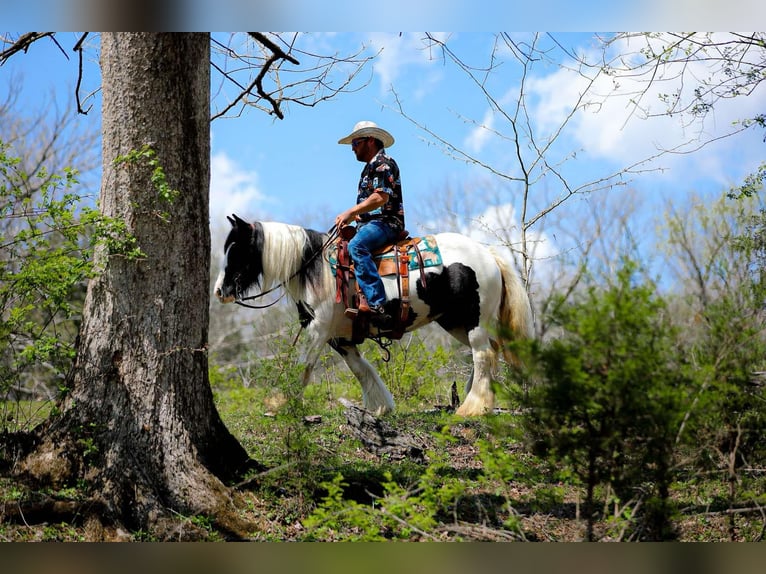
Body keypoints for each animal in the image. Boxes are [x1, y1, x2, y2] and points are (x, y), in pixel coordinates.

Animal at [213, 214, 534, 416]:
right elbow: (362, 369)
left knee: (483, 355)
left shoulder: (318, 329)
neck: (315, 269)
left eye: (236, 250)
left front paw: (282, 403)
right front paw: (381, 406)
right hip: (454, 322)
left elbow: (303, 366)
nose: (219, 291)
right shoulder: (339, 337)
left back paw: (471, 408)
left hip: (473, 321)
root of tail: (488, 254)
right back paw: (473, 399)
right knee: (490, 352)